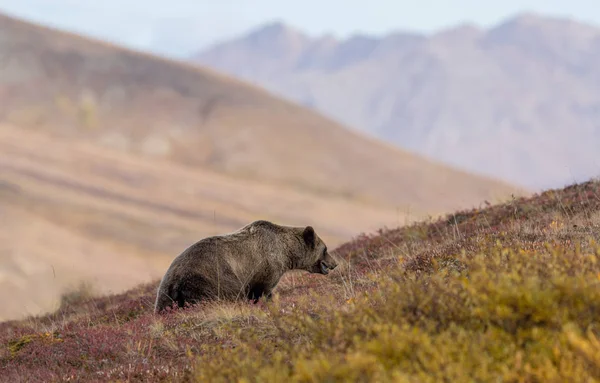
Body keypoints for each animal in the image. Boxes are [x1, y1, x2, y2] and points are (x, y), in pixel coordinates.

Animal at [154, 220, 338, 314]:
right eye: (325, 249)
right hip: (210, 279)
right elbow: (263, 291)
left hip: (165, 293)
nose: (334, 264)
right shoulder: (266, 268)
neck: (286, 252)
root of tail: (176, 280)